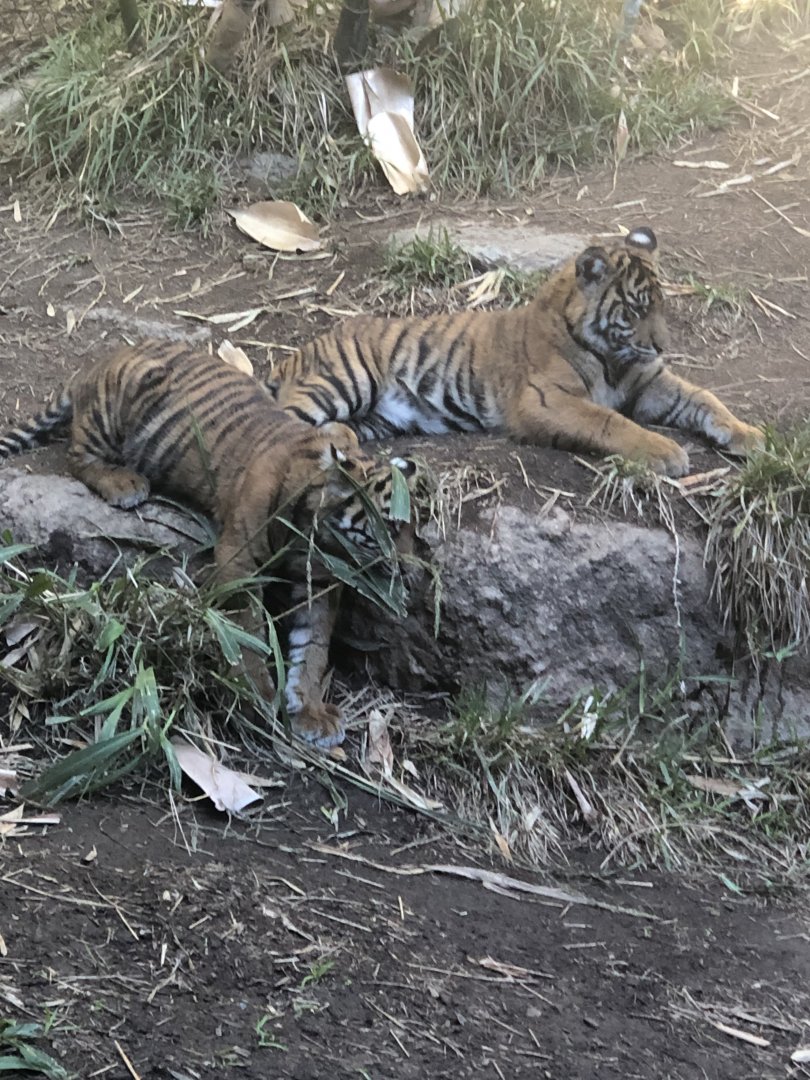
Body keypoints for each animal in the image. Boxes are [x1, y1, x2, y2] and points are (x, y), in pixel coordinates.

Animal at [0, 340, 416, 749]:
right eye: (389, 529)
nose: (412, 569)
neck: (312, 535)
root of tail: (97, 364)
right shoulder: (239, 562)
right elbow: (249, 632)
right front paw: (258, 694)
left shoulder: (320, 583)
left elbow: (312, 648)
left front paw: (311, 712)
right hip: (113, 411)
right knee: (77, 454)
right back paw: (124, 484)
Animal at [269, 227, 762, 476]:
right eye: (636, 308)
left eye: (661, 305)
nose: (663, 347)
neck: (613, 357)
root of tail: (299, 351)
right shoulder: (546, 399)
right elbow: (608, 420)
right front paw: (665, 452)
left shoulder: (650, 384)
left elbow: (704, 400)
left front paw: (750, 435)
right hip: (345, 379)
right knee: (281, 421)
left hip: (377, 417)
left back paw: (341, 437)